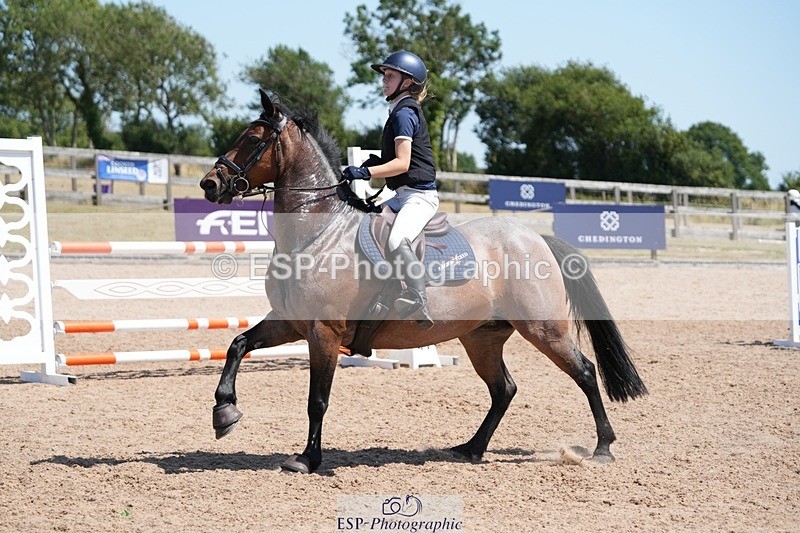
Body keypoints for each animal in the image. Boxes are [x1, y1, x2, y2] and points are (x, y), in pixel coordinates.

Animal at [199, 89, 648, 474]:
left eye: (251, 138)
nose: (210, 183)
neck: (318, 232)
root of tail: (534, 237)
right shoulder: (291, 322)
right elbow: (238, 344)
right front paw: (224, 413)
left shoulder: (324, 331)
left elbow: (317, 400)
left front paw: (307, 459)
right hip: (482, 337)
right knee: (503, 389)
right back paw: (470, 448)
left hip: (543, 328)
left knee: (584, 372)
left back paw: (602, 447)